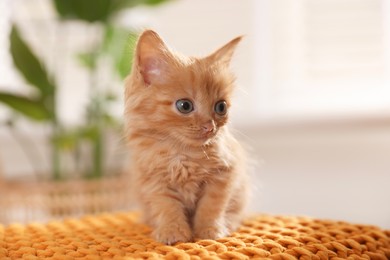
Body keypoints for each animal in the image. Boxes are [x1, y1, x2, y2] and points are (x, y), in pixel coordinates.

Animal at [123, 30, 248, 244]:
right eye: (185, 106)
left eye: (221, 107)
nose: (210, 127)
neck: (183, 154)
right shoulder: (154, 181)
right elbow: (167, 208)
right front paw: (173, 233)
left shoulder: (223, 174)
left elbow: (211, 207)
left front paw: (210, 231)